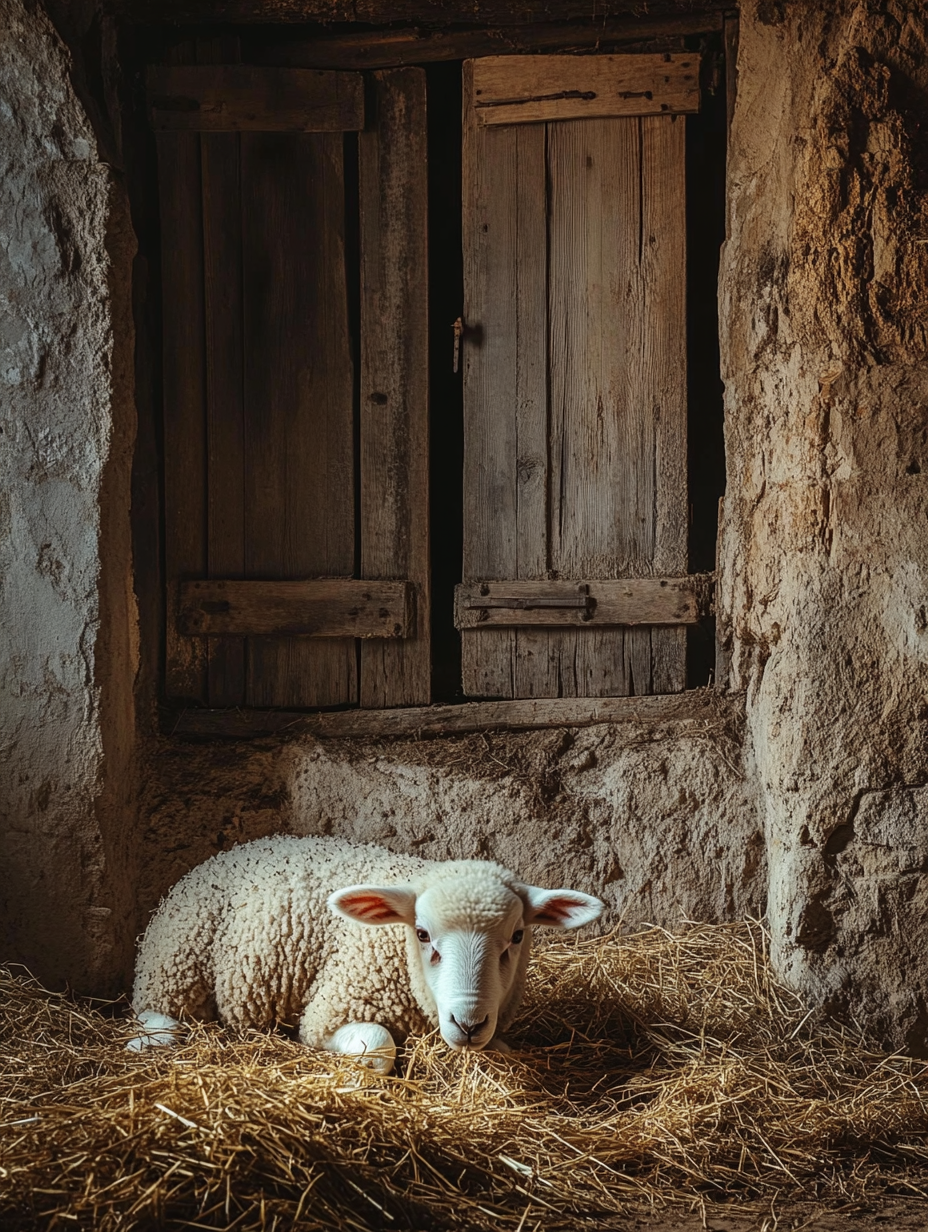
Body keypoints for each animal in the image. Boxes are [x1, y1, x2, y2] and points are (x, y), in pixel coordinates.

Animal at [130, 837, 603, 1069]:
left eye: (518, 937)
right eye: (422, 934)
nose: (468, 1024)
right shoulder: (330, 1010)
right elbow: (377, 1047)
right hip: (174, 960)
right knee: (158, 1014)